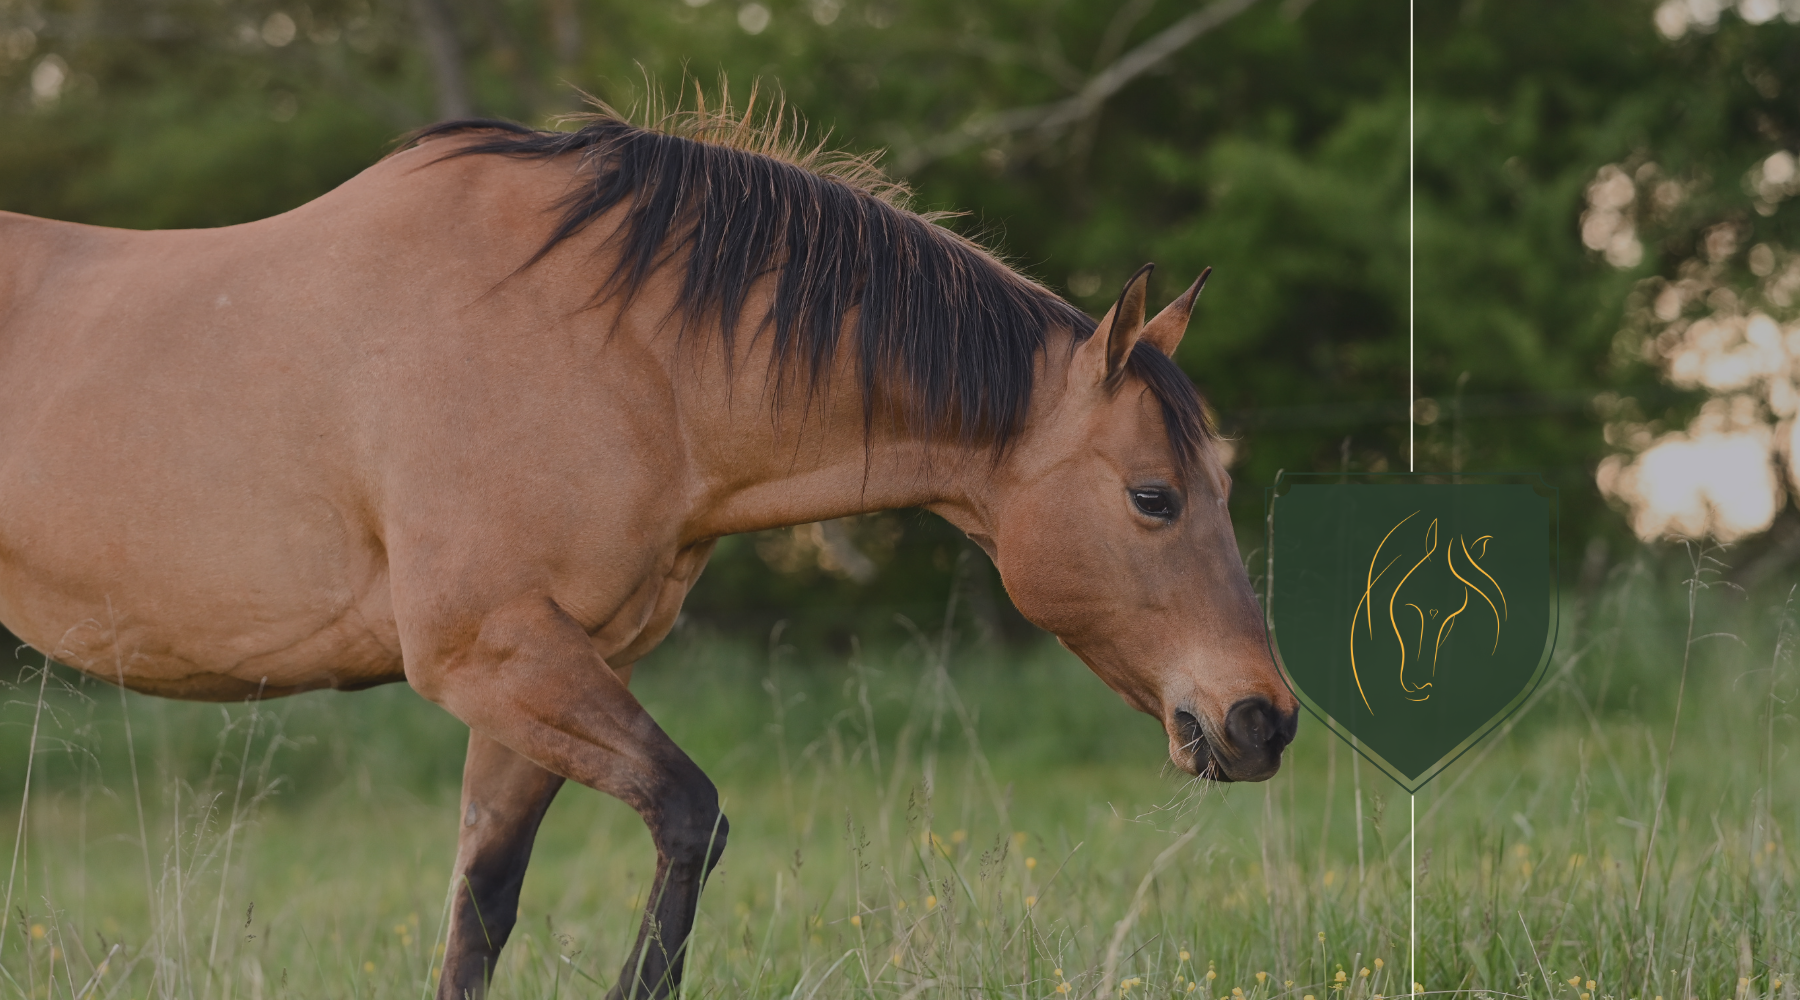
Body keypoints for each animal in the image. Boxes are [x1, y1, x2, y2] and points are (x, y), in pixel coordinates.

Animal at [0, 100, 1299, 999]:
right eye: (1153, 497)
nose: (1262, 718)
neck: (611, 352)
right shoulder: (495, 655)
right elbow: (689, 817)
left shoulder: (547, 677)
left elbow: (480, 909)